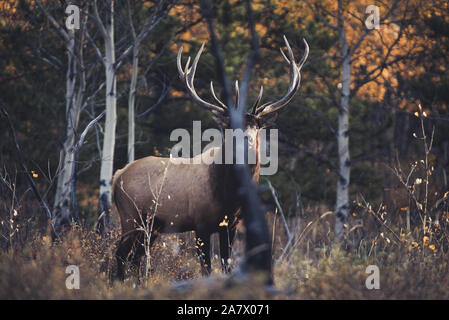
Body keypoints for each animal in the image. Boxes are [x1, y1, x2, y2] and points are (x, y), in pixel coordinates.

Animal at [113, 35, 308, 280]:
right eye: (229, 126)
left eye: (256, 126)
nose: (246, 140)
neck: (228, 195)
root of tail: (117, 176)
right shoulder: (201, 223)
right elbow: (206, 268)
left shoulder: (231, 225)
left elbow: (226, 265)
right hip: (129, 215)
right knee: (120, 255)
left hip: (151, 226)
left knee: (135, 257)